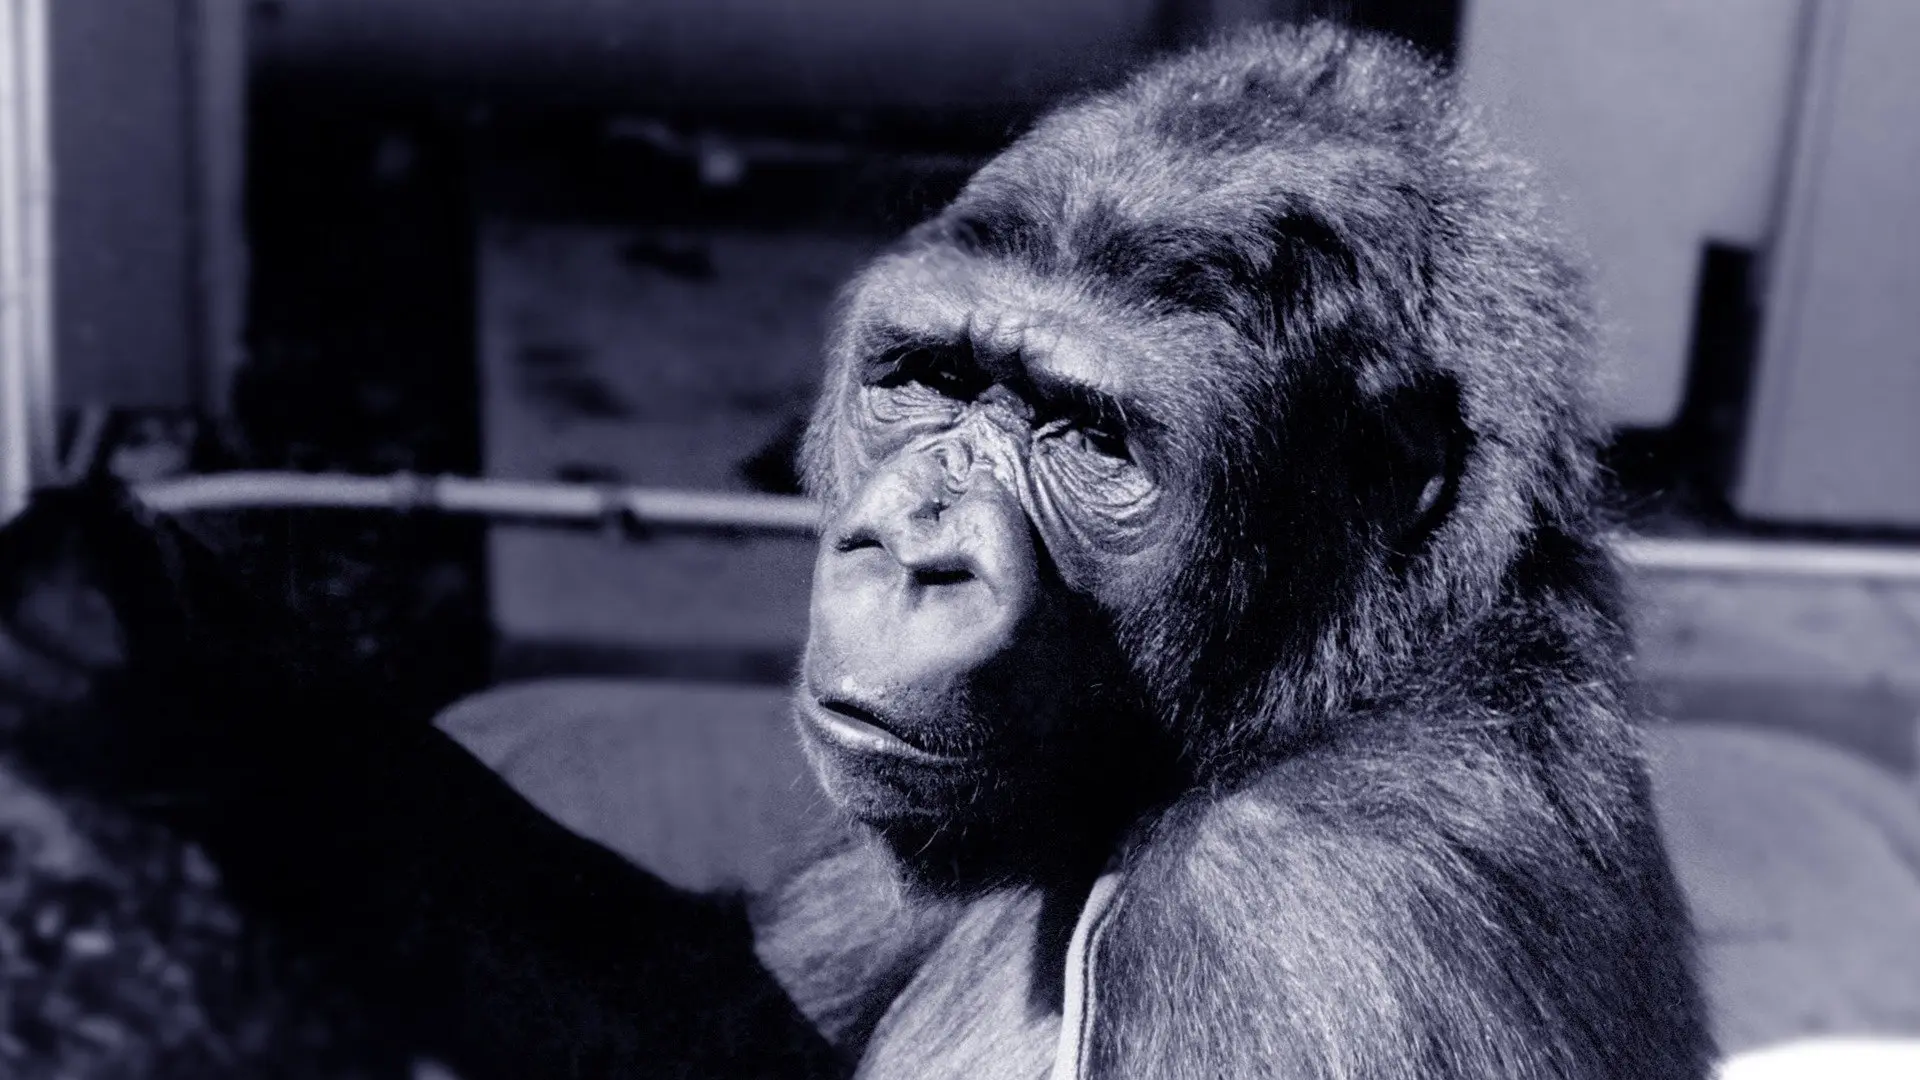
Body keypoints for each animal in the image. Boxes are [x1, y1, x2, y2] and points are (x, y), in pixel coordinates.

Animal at [0, 22, 1713, 1079]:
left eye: (1093, 439)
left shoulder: (1309, 928)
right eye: (932, 380)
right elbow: (703, 1008)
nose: (913, 550)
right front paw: (167, 669)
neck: (1322, 694)